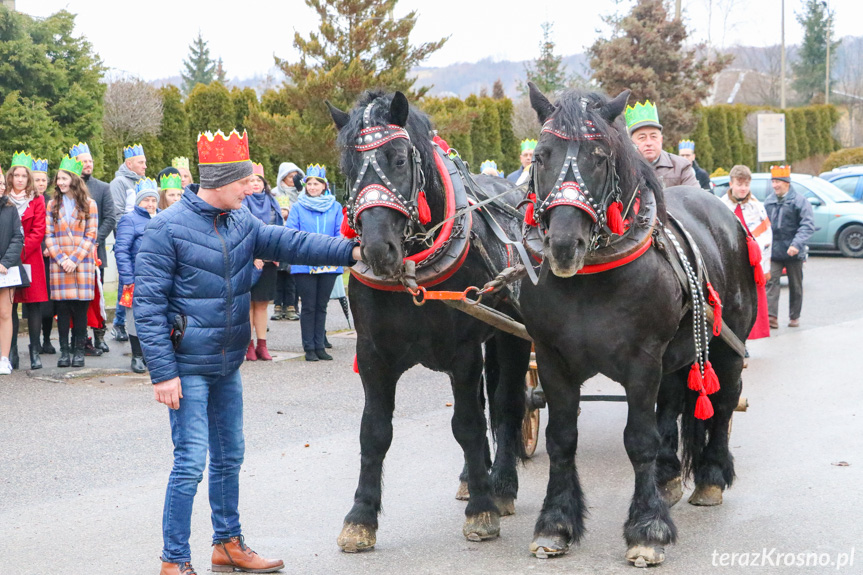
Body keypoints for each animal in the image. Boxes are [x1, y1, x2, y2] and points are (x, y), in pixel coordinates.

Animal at [330, 91, 532, 552]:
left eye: (399, 159)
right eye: (347, 168)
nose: (377, 249)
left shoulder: (463, 353)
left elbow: (469, 424)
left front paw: (482, 510)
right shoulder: (372, 354)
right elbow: (374, 431)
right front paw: (360, 516)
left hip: (513, 337)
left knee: (507, 405)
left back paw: (502, 485)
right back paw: (473, 477)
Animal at [520, 85, 756, 568]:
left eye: (599, 156)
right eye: (542, 156)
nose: (564, 245)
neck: (589, 280)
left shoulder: (643, 360)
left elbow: (639, 440)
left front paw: (648, 528)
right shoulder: (551, 358)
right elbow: (562, 437)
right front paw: (555, 523)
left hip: (726, 347)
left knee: (723, 404)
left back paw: (710, 477)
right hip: (674, 357)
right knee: (672, 405)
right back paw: (668, 476)